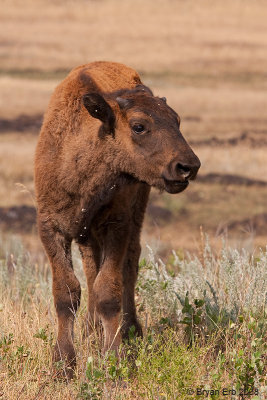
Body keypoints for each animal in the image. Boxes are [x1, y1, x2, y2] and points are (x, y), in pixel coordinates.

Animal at [34, 61, 201, 376]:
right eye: (139, 126)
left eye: (177, 121)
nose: (188, 166)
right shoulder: (51, 228)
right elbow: (67, 292)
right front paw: (63, 366)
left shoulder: (117, 226)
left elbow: (108, 290)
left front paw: (114, 360)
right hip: (88, 235)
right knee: (90, 269)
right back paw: (91, 330)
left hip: (135, 215)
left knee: (129, 267)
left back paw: (130, 331)